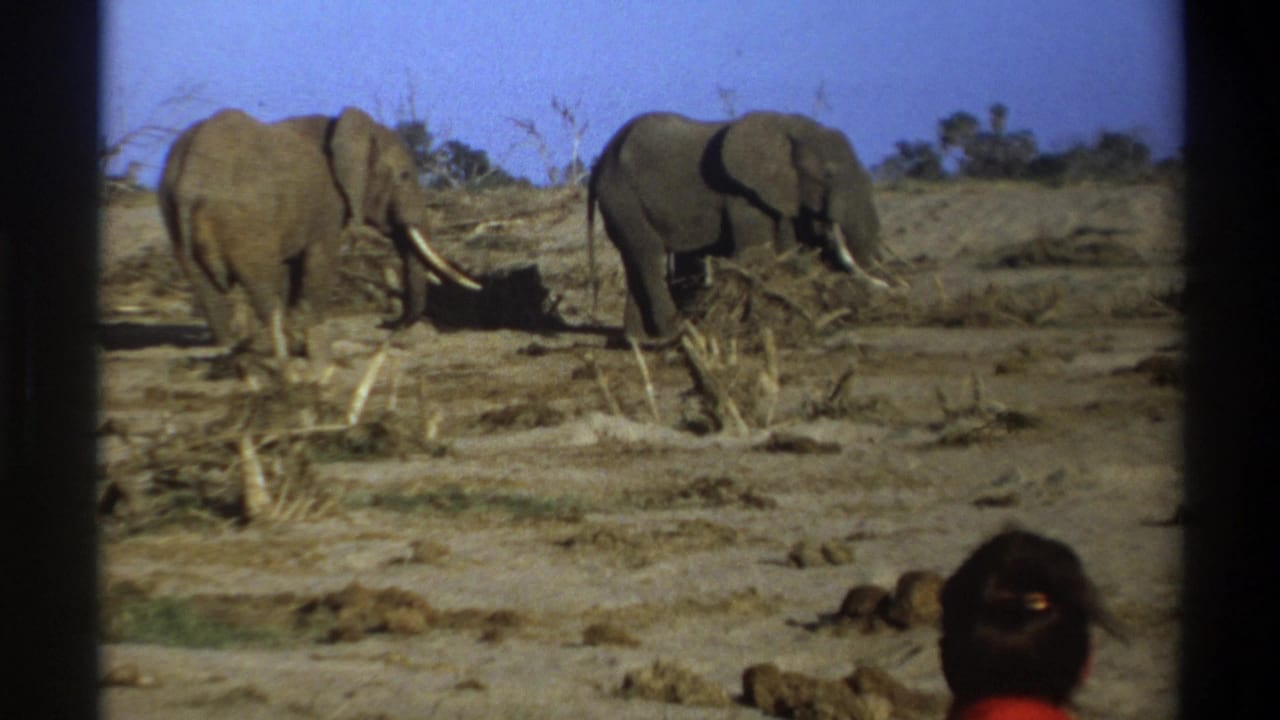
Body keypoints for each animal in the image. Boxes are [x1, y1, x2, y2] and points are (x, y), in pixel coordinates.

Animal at [159, 106, 479, 359]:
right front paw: (313, 329)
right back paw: (279, 342)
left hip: (174, 213)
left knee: (206, 284)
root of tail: (190, 179)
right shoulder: (326, 204)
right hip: (243, 221)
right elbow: (319, 260)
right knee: (261, 280)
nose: (385, 324)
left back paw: (230, 343)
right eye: (404, 176)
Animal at [587, 111, 890, 342]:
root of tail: (601, 159)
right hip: (622, 196)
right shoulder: (742, 195)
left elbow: (787, 248)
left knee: (636, 260)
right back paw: (676, 333)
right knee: (647, 255)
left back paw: (640, 341)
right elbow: (757, 253)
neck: (788, 127)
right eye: (828, 174)